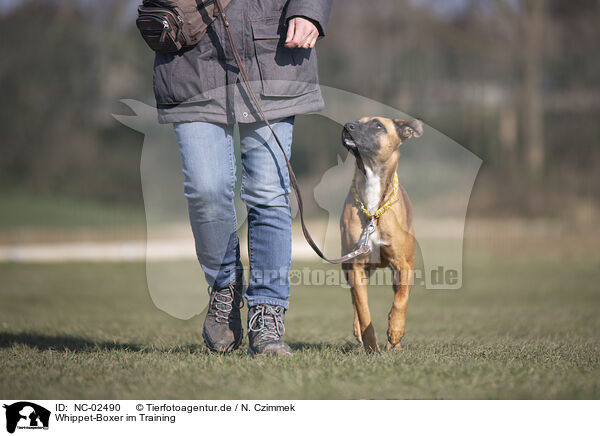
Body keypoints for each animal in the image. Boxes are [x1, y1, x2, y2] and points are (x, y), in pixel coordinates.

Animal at [340, 116, 424, 354]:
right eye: (357, 121)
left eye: (378, 125)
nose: (347, 126)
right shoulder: (357, 265)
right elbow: (363, 310)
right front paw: (370, 345)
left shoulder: (404, 265)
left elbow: (401, 300)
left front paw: (395, 331)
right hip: (348, 266)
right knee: (354, 299)